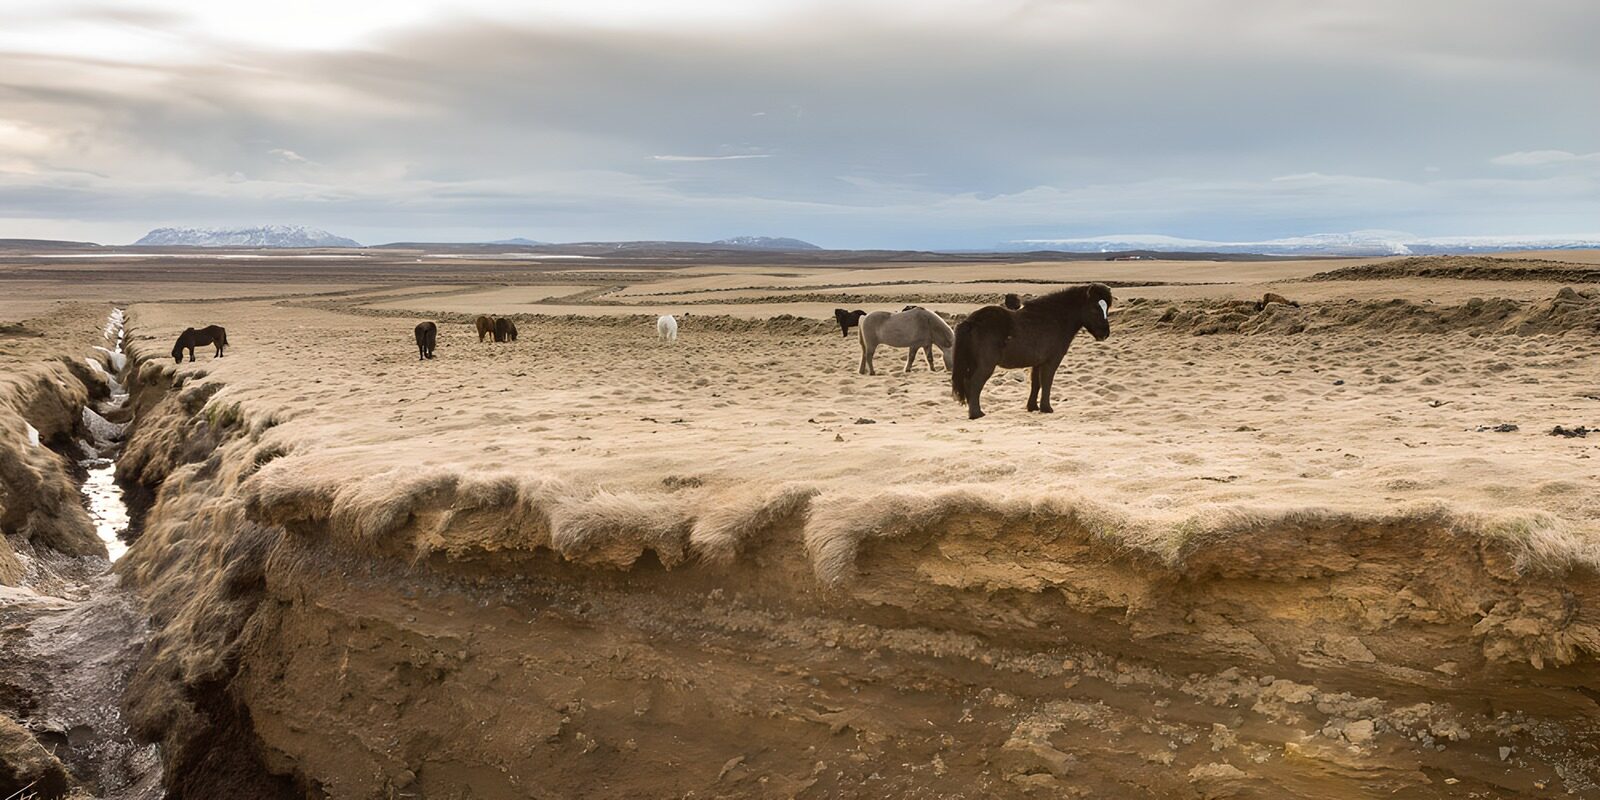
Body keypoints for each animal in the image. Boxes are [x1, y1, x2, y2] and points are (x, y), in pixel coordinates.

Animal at [951, 284, 1112, 419]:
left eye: (1107, 309)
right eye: (1094, 308)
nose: (1104, 334)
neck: (1054, 319)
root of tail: (971, 321)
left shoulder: (1037, 363)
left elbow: (1036, 384)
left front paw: (1032, 407)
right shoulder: (1051, 361)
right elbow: (1047, 382)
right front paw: (1047, 408)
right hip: (986, 366)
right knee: (974, 383)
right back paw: (976, 414)